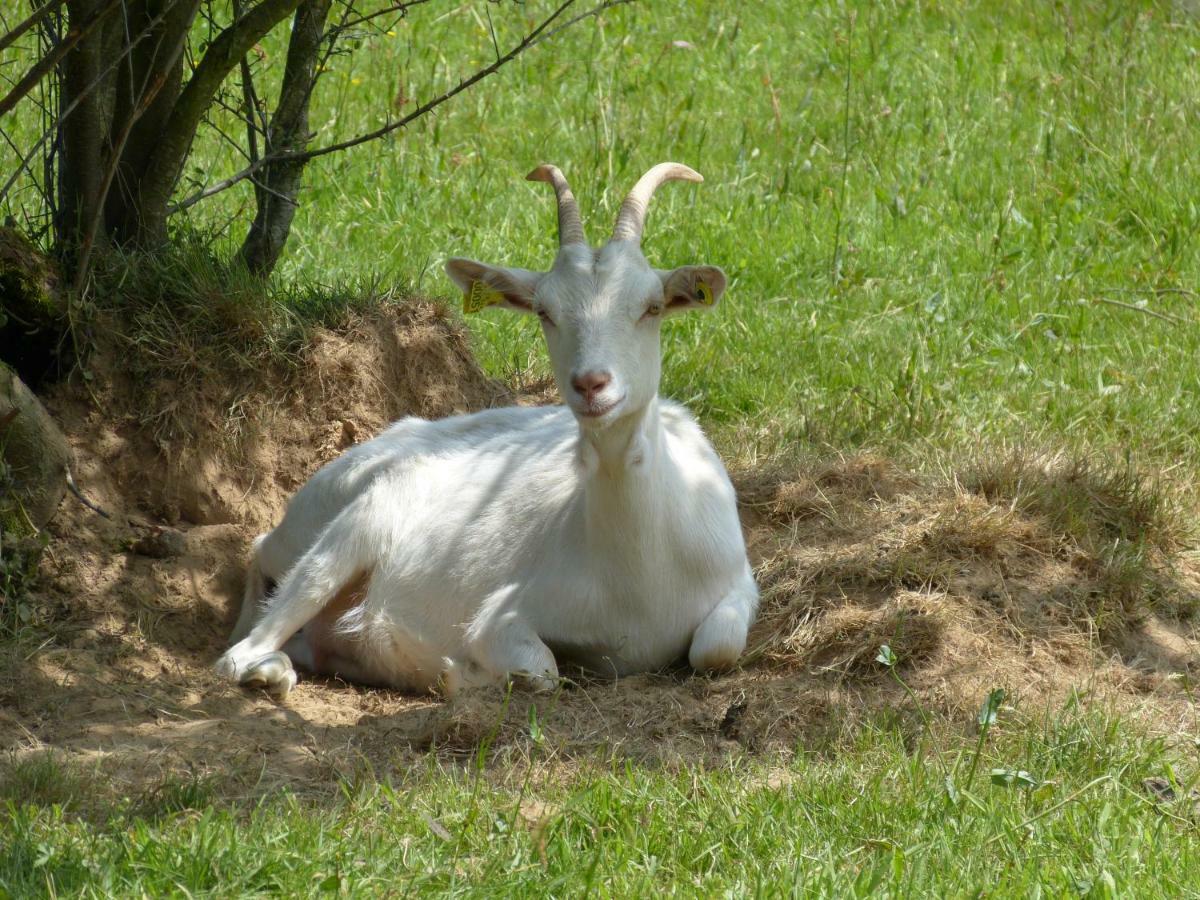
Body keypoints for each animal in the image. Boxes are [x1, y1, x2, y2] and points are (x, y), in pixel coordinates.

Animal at [217, 164, 758, 696]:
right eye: (544, 311)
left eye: (651, 307)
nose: (591, 384)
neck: (637, 578)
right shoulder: (506, 612)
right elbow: (539, 669)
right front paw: (461, 671)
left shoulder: (739, 587)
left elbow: (717, 648)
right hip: (354, 524)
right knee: (239, 645)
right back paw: (271, 667)